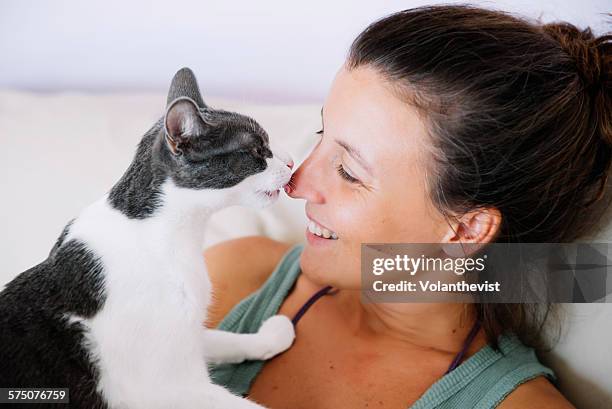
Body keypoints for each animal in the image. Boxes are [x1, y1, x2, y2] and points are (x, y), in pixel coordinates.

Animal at [0, 67, 296, 408]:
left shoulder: (185, 338)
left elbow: (221, 338)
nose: (291, 161)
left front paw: (267, 336)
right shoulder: (170, 384)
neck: (166, 233)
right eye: (257, 151)